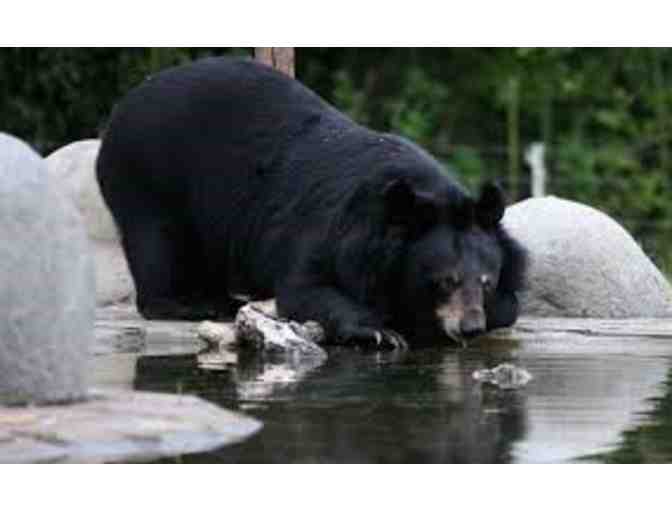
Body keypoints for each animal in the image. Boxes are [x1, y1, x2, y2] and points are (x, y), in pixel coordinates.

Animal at [96, 57, 527, 348]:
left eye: (486, 281)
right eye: (445, 280)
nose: (470, 327)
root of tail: (123, 106)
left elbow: (511, 303)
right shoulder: (335, 230)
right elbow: (307, 287)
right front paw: (380, 332)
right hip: (150, 175)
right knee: (158, 244)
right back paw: (193, 304)